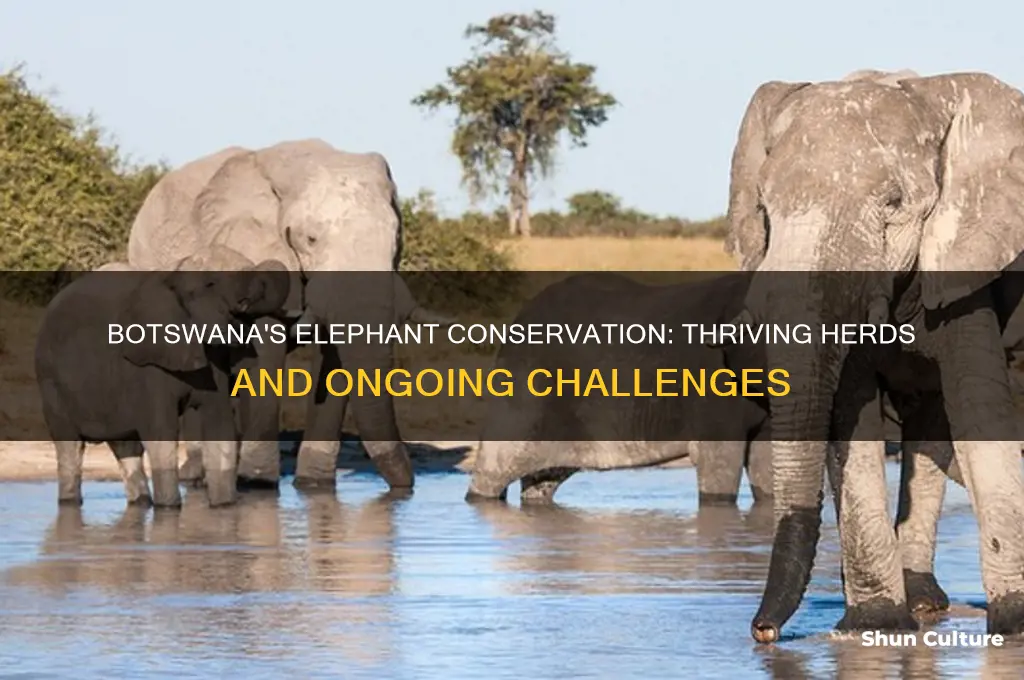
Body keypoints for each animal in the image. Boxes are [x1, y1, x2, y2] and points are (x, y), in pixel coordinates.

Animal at [34, 248, 290, 508]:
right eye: (211, 283)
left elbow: (219, 425)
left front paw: (224, 507)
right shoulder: (146, 365)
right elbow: (160, 430)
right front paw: (169, 509)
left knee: (126, 447)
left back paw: (140, 502)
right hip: (49, 380)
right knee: (70, 446)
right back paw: (70, 501)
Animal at [127, 139, 443, 493]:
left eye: (396, 239)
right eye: (310, 239)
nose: (406, 489)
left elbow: (333, 359)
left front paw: (313, 486)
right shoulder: (255, 251)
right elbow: (267, 345)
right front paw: (258, 484)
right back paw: (196, 479)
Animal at [725, 70, 1024, 641]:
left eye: (894, 203)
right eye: (765, 209)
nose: (762, 632)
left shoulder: (968, 256)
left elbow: (979, 410)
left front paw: (1015, 622)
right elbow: (851, 416)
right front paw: (877, 624)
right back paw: (924, 603)